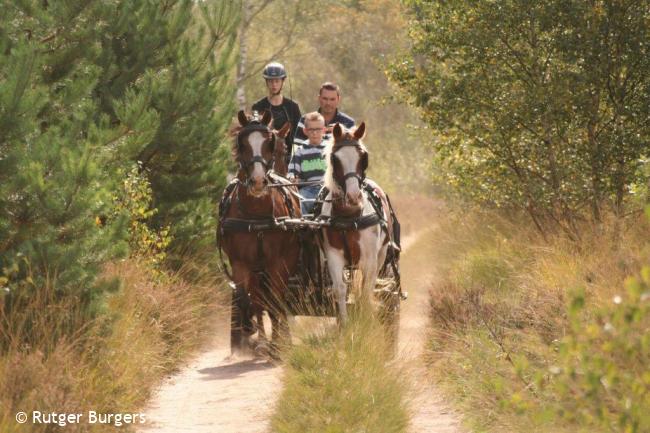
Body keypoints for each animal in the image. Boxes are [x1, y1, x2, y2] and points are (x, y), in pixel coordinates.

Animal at [218, 109, 298, 356]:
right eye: (242, 144)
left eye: (270, 144)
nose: (258, 181)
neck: (257, 215)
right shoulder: (241, 263)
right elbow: (248, 299)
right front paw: (250, 330)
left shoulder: (277, 261)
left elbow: (275, 301)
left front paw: (278, 343)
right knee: (257, 299)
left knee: (275, 299)